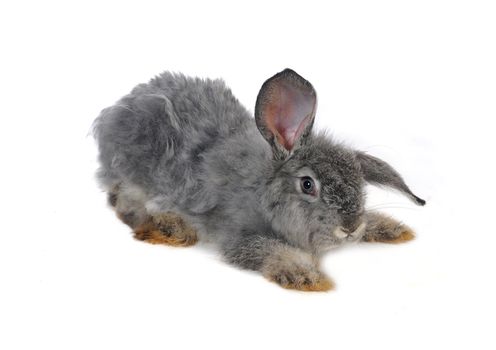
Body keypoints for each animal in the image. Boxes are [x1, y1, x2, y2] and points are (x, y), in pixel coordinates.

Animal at [94, 69, 426, 292]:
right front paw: (307, 277)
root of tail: (116, 111)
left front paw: (393, 229)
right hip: (135, 170)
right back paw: (170, 228)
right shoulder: (237, 236)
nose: (350, 227)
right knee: (124, 202)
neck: (263, 190)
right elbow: (269, 249)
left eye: (358, 180)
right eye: (308, 184)